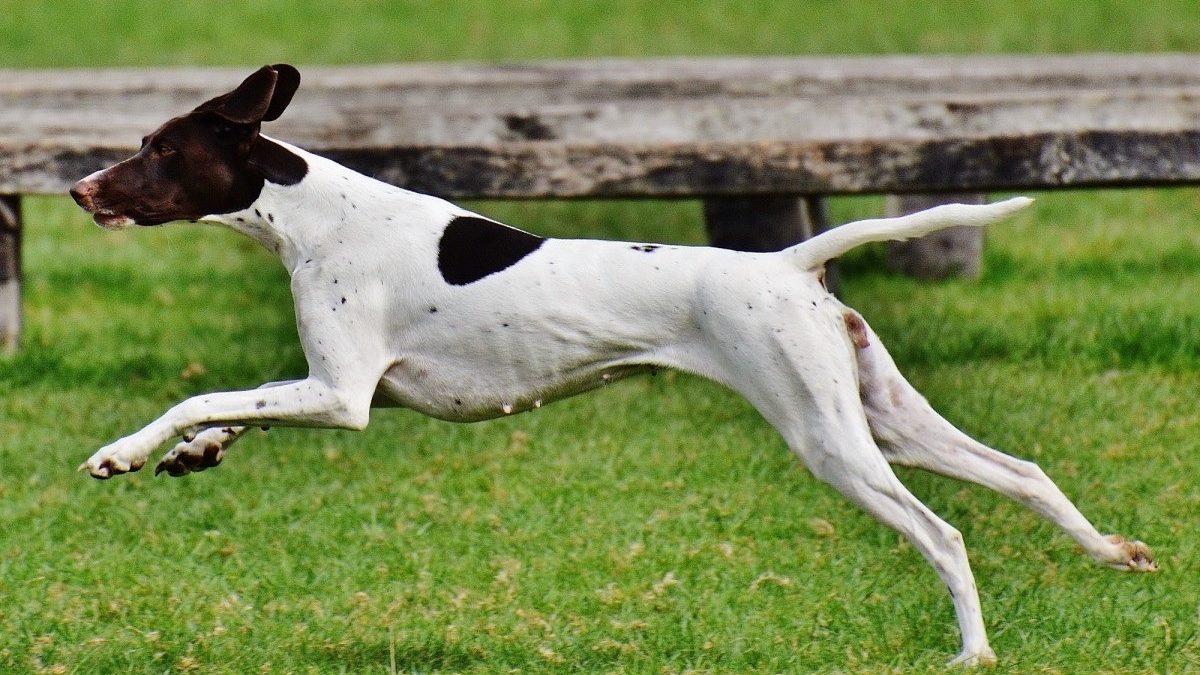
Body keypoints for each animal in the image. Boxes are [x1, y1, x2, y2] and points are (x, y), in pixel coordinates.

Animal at [70, 65, 1156, 662]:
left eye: (158, 149)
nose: (80, 189)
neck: (315, 216)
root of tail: (786, 263)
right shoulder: (332, 389)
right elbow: (231, 408)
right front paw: (192, 452)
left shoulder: (342, 398)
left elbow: (202, 393)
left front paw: (124, 449)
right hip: (888, 419)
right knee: (1024, 473)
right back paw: (1112, 553)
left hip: (832, 441)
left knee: (943, 533)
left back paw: (974, 652)